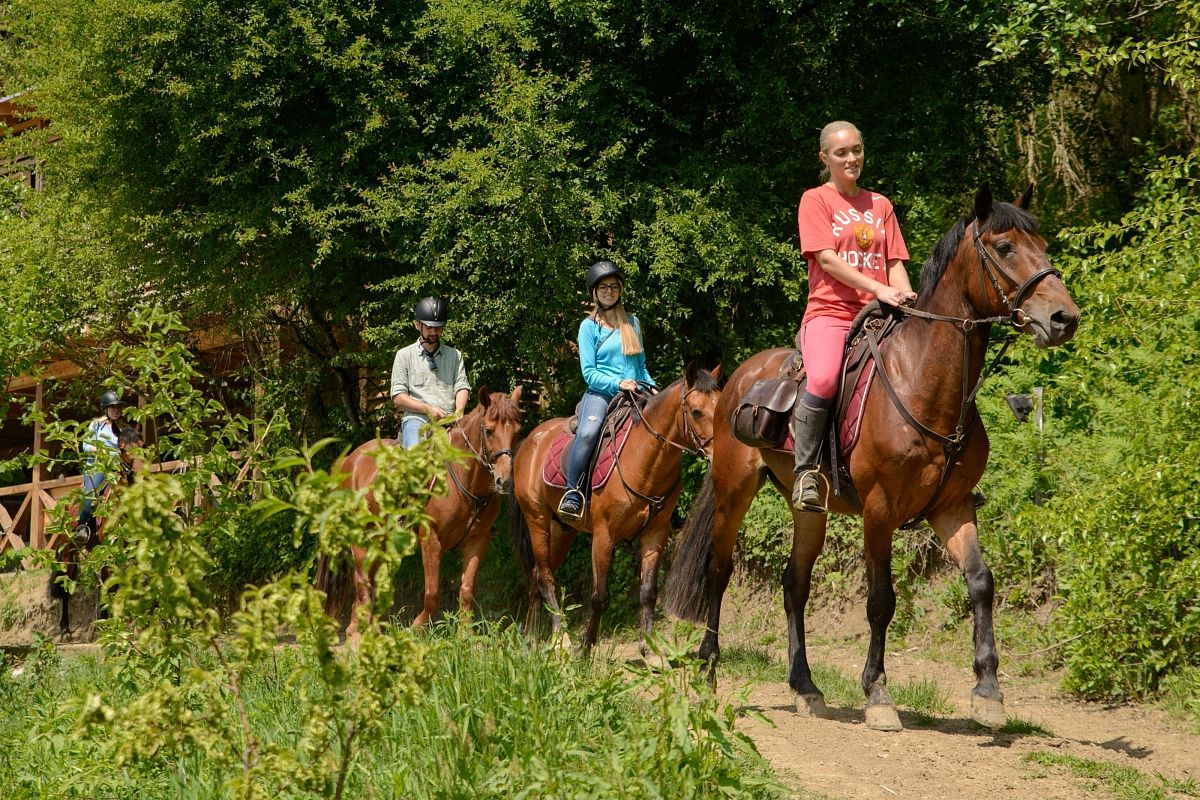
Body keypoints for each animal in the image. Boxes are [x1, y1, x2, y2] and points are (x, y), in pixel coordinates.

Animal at [52, 424, 142, 638]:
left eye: (142, 444)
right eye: (123, 449)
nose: (140, 470)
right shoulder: (109, 547)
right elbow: (111, 583)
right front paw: (109, 625)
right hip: (68, 553)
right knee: (67, 585)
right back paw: (65, 629)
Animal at [321, 383, 523, 642]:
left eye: (517, 431)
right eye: (489, 431)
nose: (504, 480)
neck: (462, 479)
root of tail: (350, 460)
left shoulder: (478, 540)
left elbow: (467, 591)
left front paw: (465, 635)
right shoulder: (431, 540)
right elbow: (432, 593)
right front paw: (416, 628)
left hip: (382, 542)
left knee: (370, 582)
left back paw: (362, 628)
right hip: (362, 538)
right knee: (362, 581)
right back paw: (361, 633)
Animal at [508, 362, 715, 652]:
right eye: (696, 411)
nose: (719, 451)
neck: (644, 459)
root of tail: (529, 441)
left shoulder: (656, 533)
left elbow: (648, 593)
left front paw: (651, 650)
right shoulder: (604, 536)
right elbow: (599, 597)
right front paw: (586, 648)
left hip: (562, 530)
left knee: (537, 576)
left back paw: (530, 638)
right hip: (536, 520)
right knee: (545, 578)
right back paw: (561, 639)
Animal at [662, 185, 1084, 734]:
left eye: (1044, 243)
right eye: (1006, 247)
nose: (1064, 317)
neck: (924, 381)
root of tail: (735, 381)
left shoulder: (953, 508)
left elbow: (981, 582)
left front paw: (988, 692)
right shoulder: (880, 511)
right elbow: (881, 600)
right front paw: (878, 694)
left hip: (807, 508)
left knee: (794, 583)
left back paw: (805, 687)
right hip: (734, 492)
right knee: (719, 570)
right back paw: (708, 672)